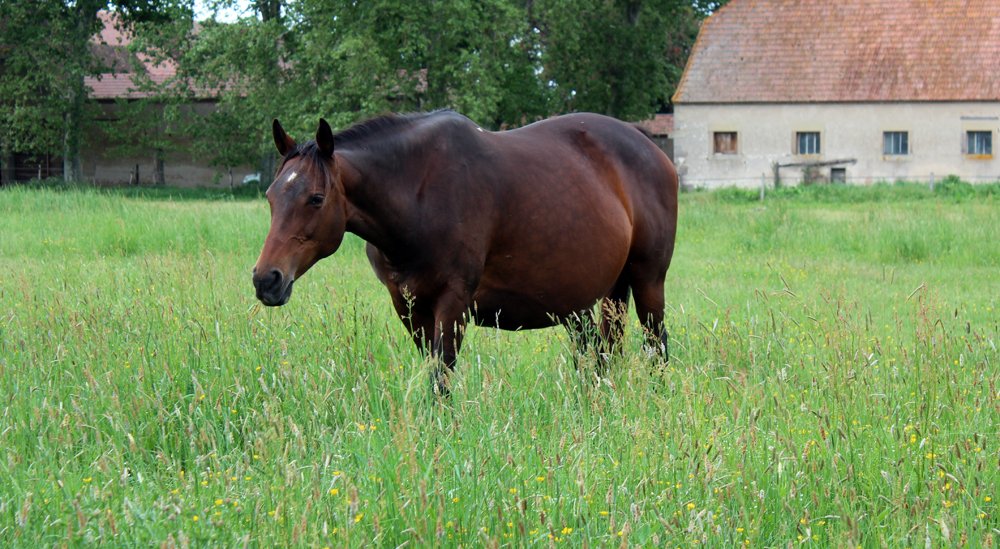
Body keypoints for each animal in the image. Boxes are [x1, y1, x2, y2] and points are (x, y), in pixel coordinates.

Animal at [252, 110, 678, 395]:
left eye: (316, 198)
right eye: (271, 196)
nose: (266, 279)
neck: (418, 194)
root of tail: (651, 148)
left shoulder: (453, 303)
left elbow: (442, 377)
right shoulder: (409, 307)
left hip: (647, 281)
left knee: (655, 346)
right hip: (592, 297)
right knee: (600, 352)